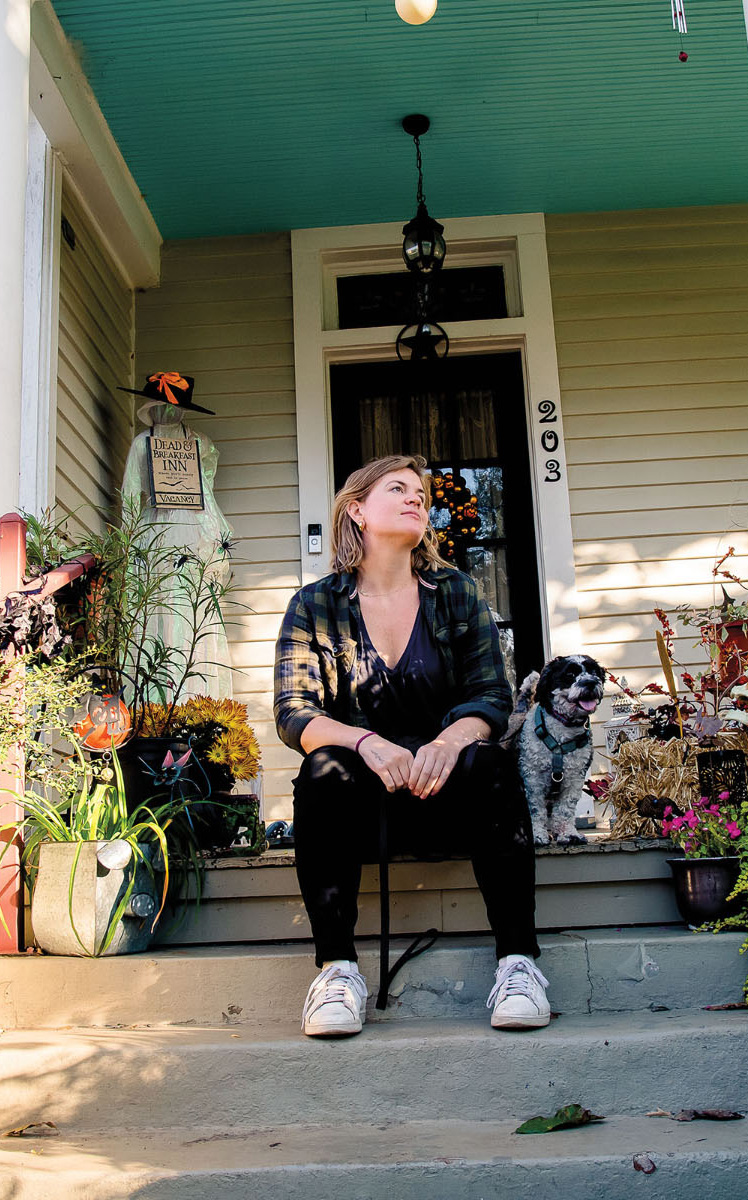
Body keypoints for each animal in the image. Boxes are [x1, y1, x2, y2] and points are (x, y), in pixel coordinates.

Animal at [511, 657, 612, 844]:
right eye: (569, 674)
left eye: (594, 672)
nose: (590, 682)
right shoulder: (533, 779)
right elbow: (536, 811)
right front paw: (537, 835)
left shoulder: (574, 778)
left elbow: (565, 810)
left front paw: (569, 834)